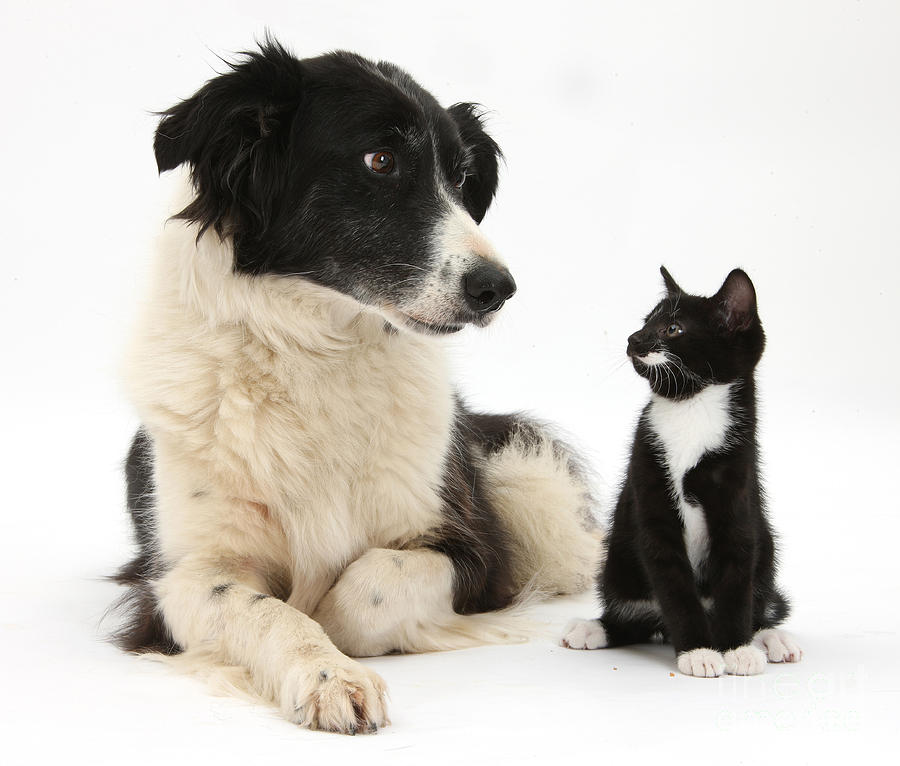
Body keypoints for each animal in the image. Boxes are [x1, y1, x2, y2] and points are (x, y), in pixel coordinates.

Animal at [114, 39, 604, 736]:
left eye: (461, 178)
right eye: (380, 160)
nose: (499, 289)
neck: (317, 350)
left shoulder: (473, 550)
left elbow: (366, 587)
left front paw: (338, 632)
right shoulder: (182, 576)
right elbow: (270, 611)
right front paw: (327, 675)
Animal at [564, 268, 800, 676]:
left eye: (673, 329)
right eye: (646, 322)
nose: (634, 339)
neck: (691, 408)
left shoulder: (738, 489)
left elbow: (736, 578)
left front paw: (736, 648)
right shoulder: (649, 485)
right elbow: (673, 585)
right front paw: (699, 651)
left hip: (767, 545)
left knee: (758, 606)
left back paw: (771, 639)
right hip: (618, 562)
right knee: (636, 618)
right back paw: (593, 628)